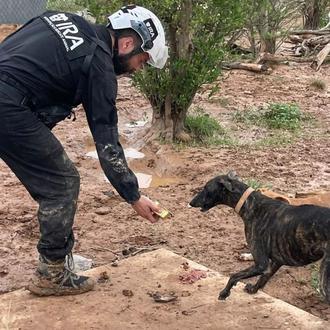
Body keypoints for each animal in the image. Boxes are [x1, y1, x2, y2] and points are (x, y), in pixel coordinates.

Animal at [188, 171, 330, 302]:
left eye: (206, 188)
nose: (190, 202)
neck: (252, 204)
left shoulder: (261, 263)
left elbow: (234, 275)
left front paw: (224, 292)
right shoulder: (277, 259)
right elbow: (264, 277)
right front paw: (253, 289)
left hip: (324, 281)